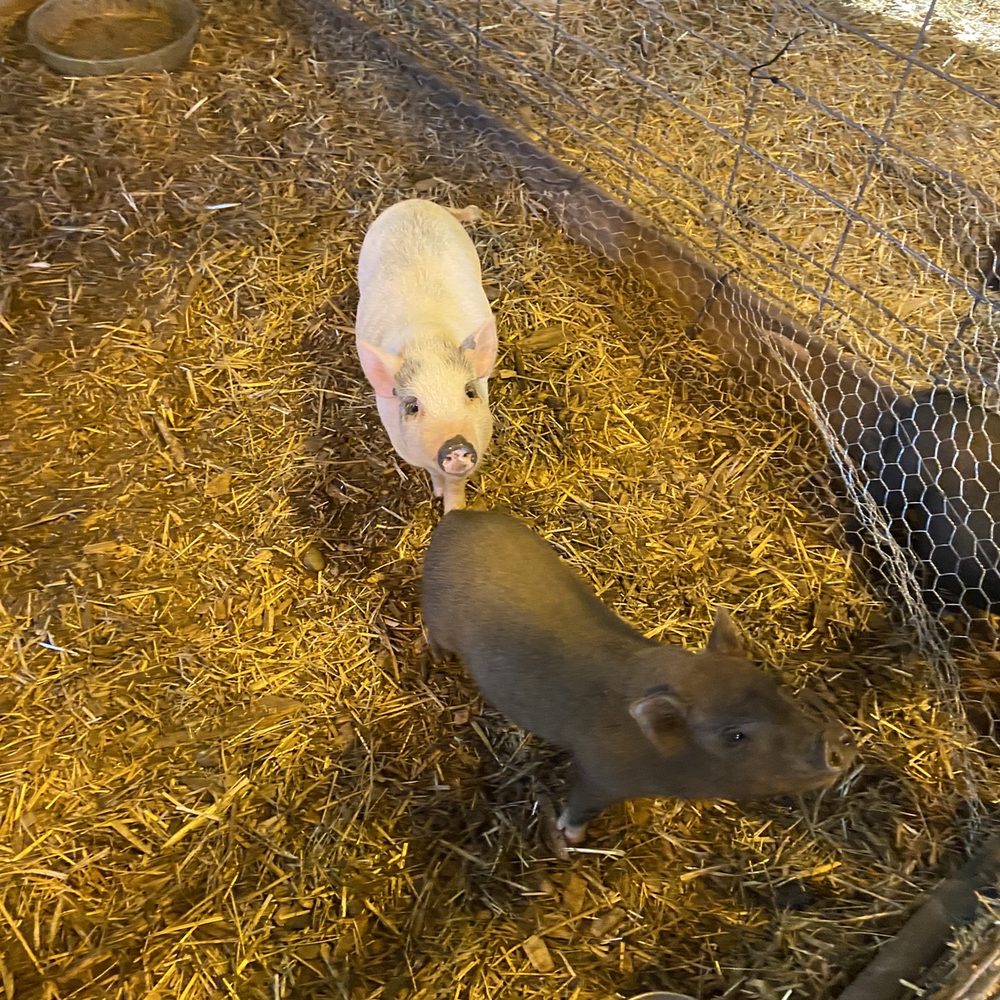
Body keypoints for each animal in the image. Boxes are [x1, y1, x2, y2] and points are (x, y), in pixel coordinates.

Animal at [355, 199, 498, 513]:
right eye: (412, 406)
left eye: (470, 392)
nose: (455, 445)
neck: (428, 341)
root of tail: (413, 202)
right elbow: (434, 471)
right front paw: (438, 495)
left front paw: (454, 507)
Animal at [421, 509, 856, 845]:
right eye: (734, 736)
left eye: (774, 686)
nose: (838, 740)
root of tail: (456, 519)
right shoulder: (601, 772)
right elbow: (581, 805)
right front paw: (572, 839)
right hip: (437, 616)